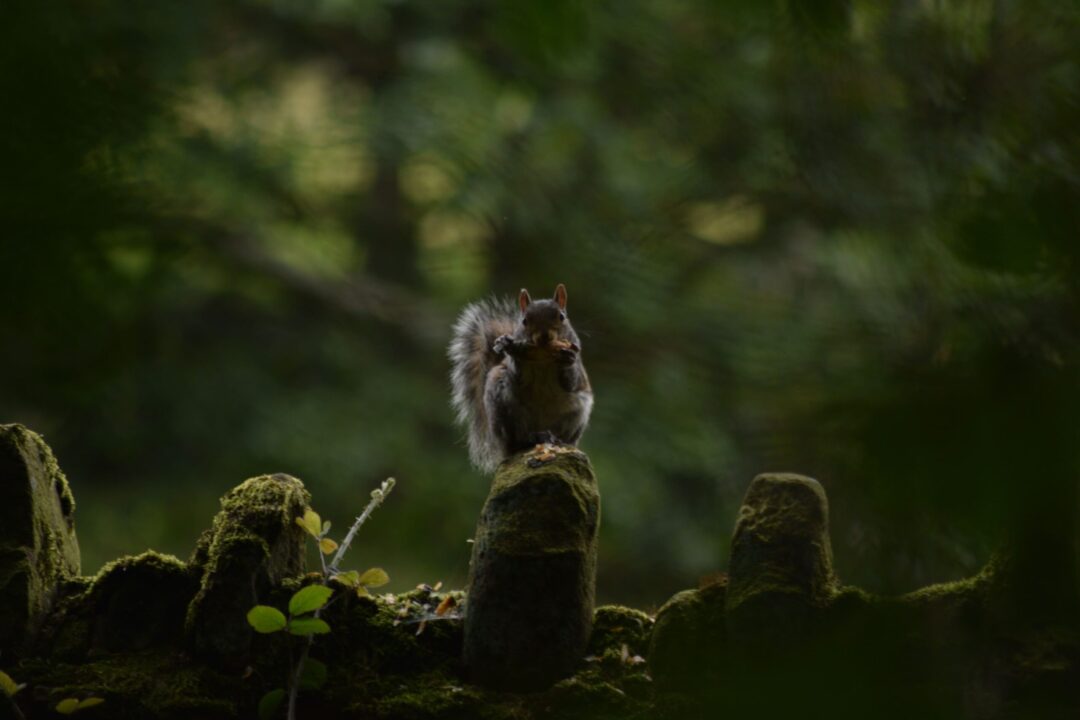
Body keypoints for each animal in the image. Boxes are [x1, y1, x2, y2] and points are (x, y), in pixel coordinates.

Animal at [449, 280, 596, 472]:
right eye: (525, 320)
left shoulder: (578, 366)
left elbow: (572, 381)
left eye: (561, 316)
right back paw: (530, 439)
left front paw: (567, 358)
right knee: (516, 440)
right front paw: (514, 349)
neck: (544, 359)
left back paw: (556, 439)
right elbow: (517, 375)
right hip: (504, 408)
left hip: (577, 412)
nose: (544, 337)